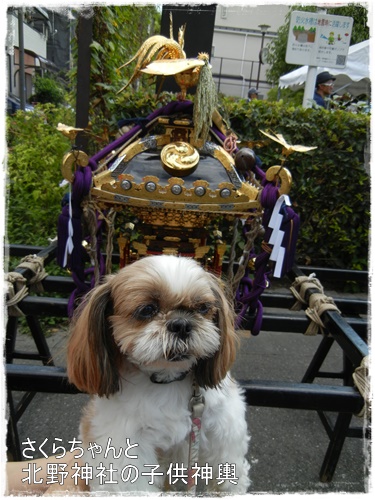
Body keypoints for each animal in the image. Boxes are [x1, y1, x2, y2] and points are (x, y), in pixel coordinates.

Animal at [68, 256, 250, 494]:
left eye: (202, 307)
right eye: (147, 309)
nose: (181, 324)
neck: (167, 380)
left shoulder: (222, 432)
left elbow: (228, 475)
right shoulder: (124, 446)